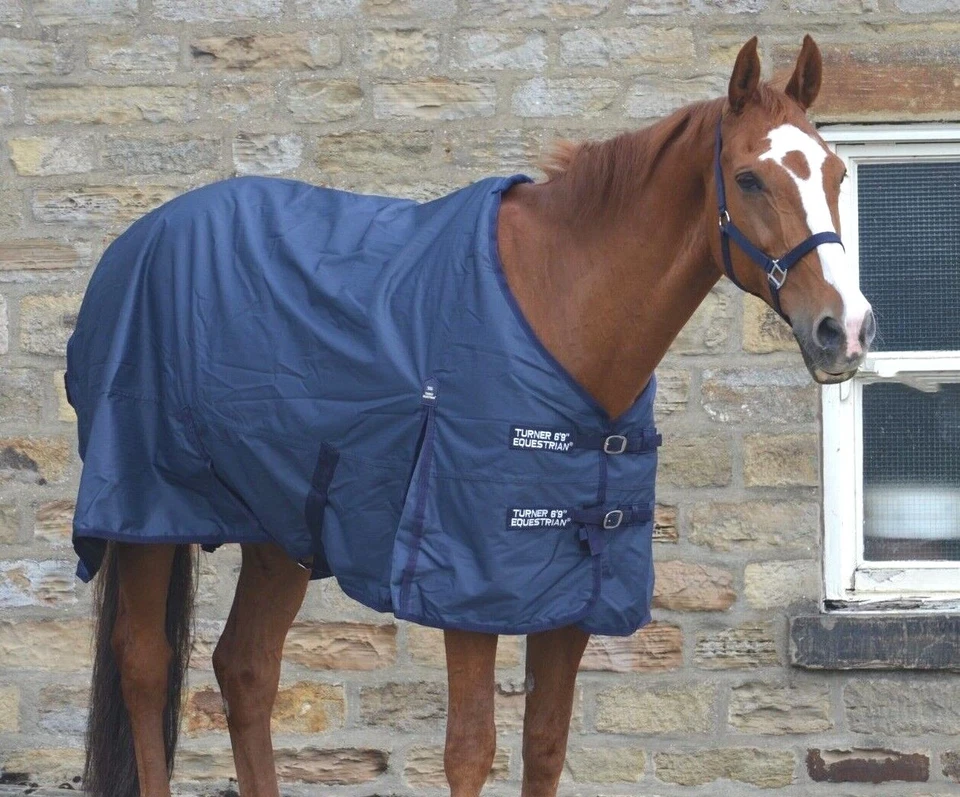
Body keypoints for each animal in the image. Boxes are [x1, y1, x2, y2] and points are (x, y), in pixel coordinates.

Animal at [69, 35, 874, 797]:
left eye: (836, 174)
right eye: (749, 178)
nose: (846, 329)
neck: (560, 309)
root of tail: (134, 244)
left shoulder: (574, 597)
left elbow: (544, 746)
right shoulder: (468, 591)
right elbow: (469, 752)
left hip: (282, 527)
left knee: (246, 668)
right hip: (143, 516)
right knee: (145, 665)